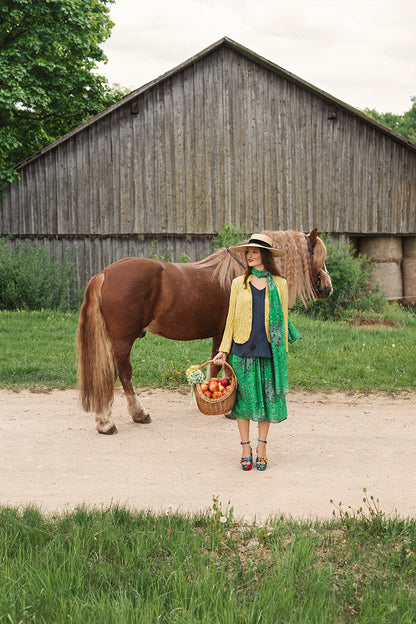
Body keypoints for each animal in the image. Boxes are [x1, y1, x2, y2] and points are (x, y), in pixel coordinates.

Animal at [77, 229, 332, 434]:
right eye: (318, 256)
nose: (327, 288)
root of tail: (104, 274)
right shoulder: (227, 334)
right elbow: (224, 367)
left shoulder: (219, 335)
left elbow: (214, 367)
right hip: (123, 340)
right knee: (120, 373)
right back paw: (117, 419)